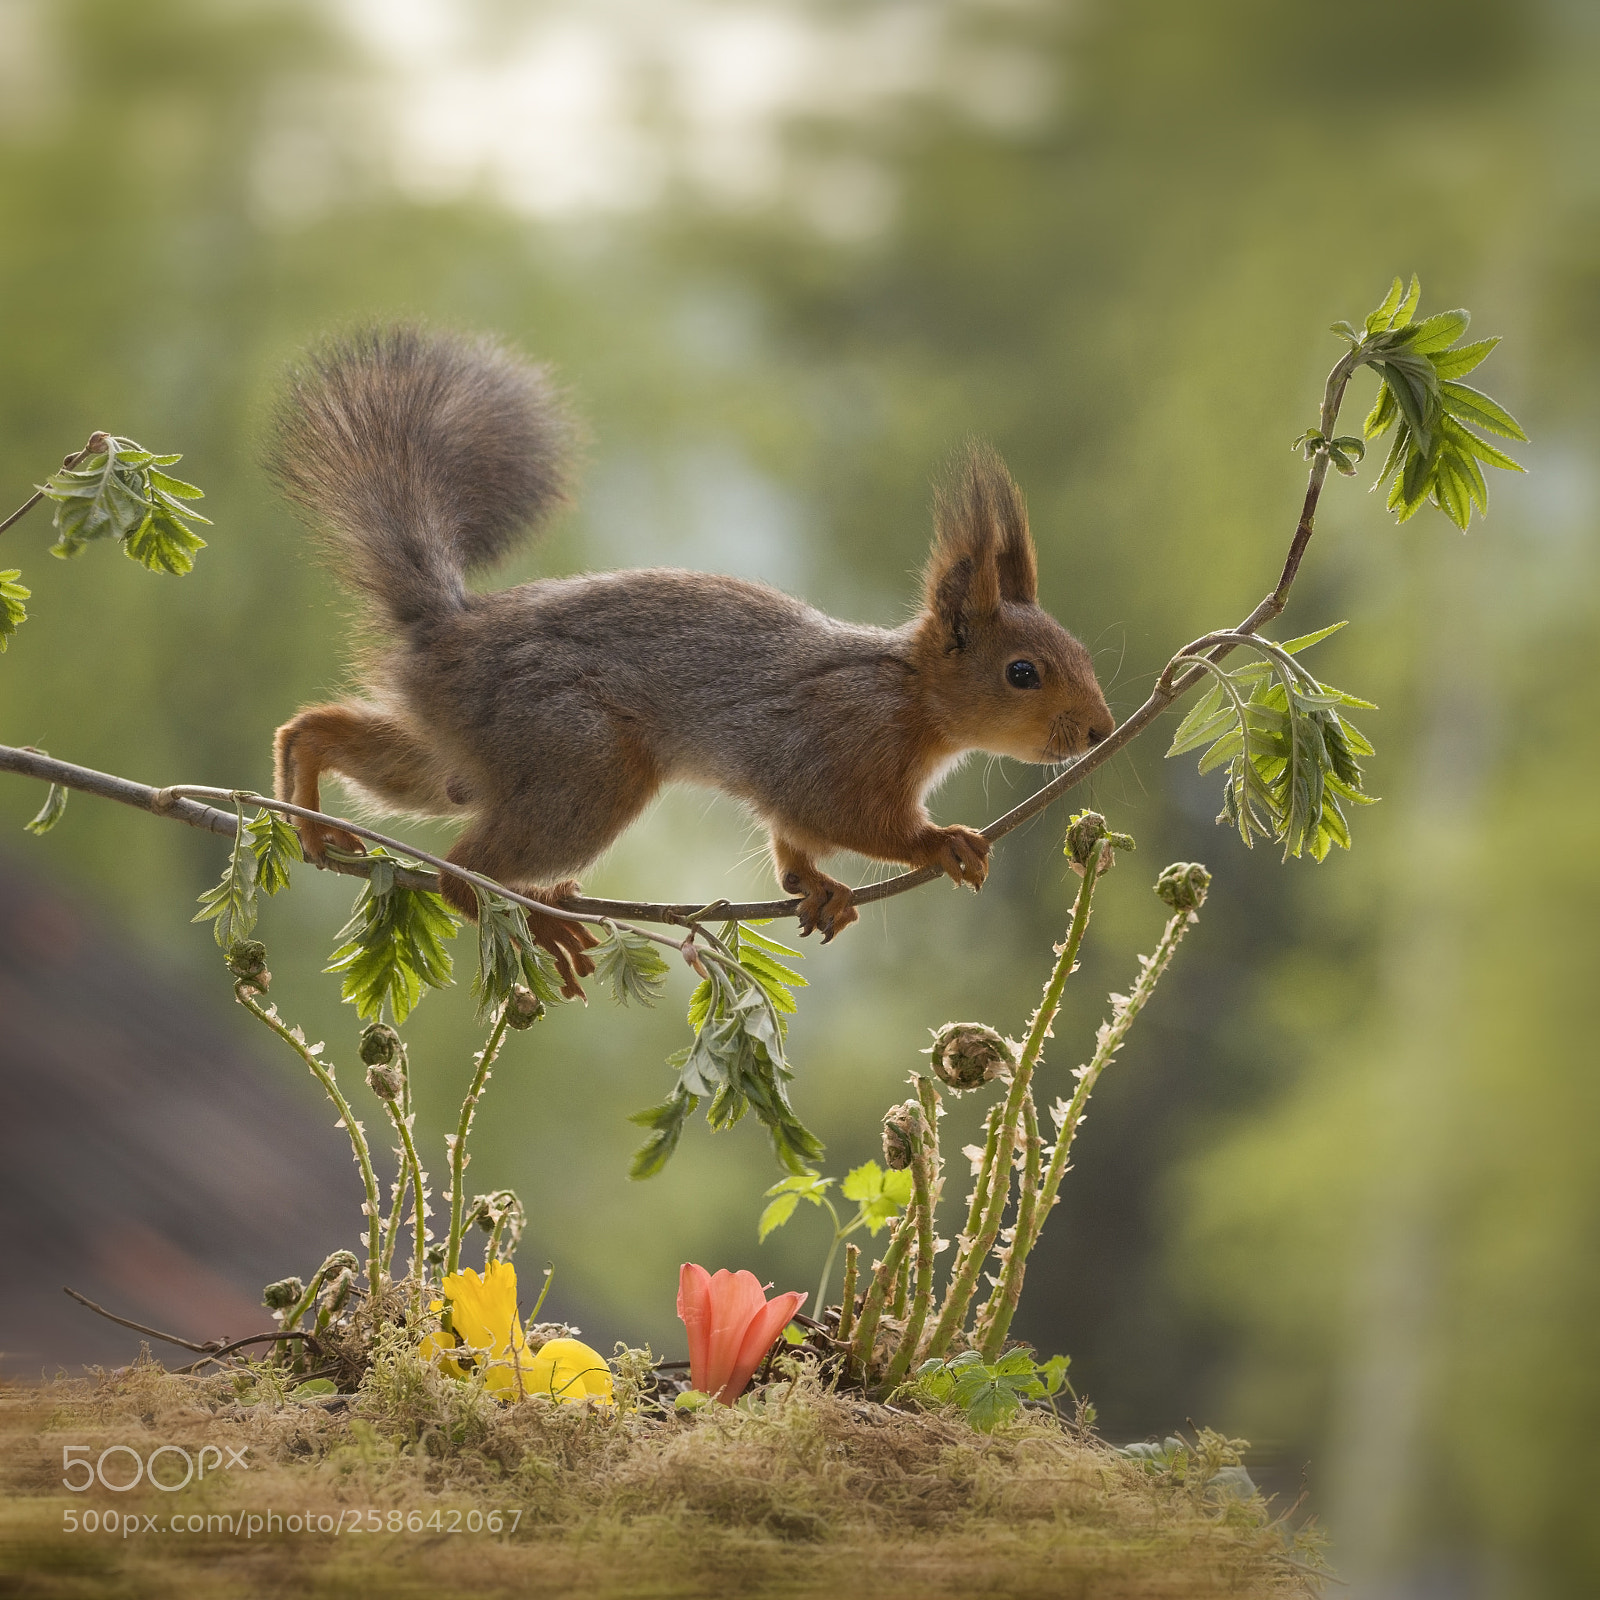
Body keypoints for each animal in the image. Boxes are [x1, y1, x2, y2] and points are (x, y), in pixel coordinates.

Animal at [269, 326, 1114, 999]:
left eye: (1080, 652)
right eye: (1023, 673)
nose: (1099, 732)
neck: (910, 696)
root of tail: (451, 628)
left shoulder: (797, 785)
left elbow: (793, 839)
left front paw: (816, 889)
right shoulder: (837, 745)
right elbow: (847, 818)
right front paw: (938, 844)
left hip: (462, 759)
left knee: (327, 733)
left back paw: (306, 805)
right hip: (581, 763)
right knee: (457, 869)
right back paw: (533, 922)